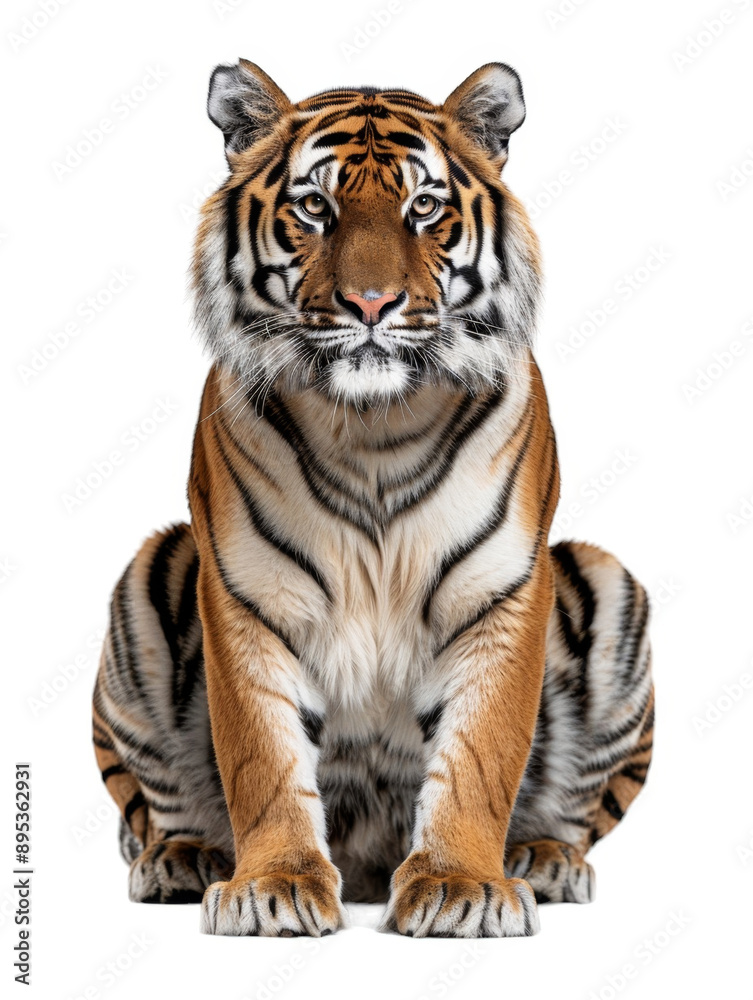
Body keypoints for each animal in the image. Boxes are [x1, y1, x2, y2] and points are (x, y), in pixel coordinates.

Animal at [92, 60, 653, 938]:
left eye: (421, 207)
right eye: (313, 207)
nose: (369, 305)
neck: (373, 427)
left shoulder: (501, 593)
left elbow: (481, 755)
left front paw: (461, 886)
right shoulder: (248, 596)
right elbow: (260, 757)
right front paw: (272, 887)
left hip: (606, 580)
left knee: (574, 814)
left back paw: (541, 860)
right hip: (149, 572)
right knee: (159, 806)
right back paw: (187, 858)